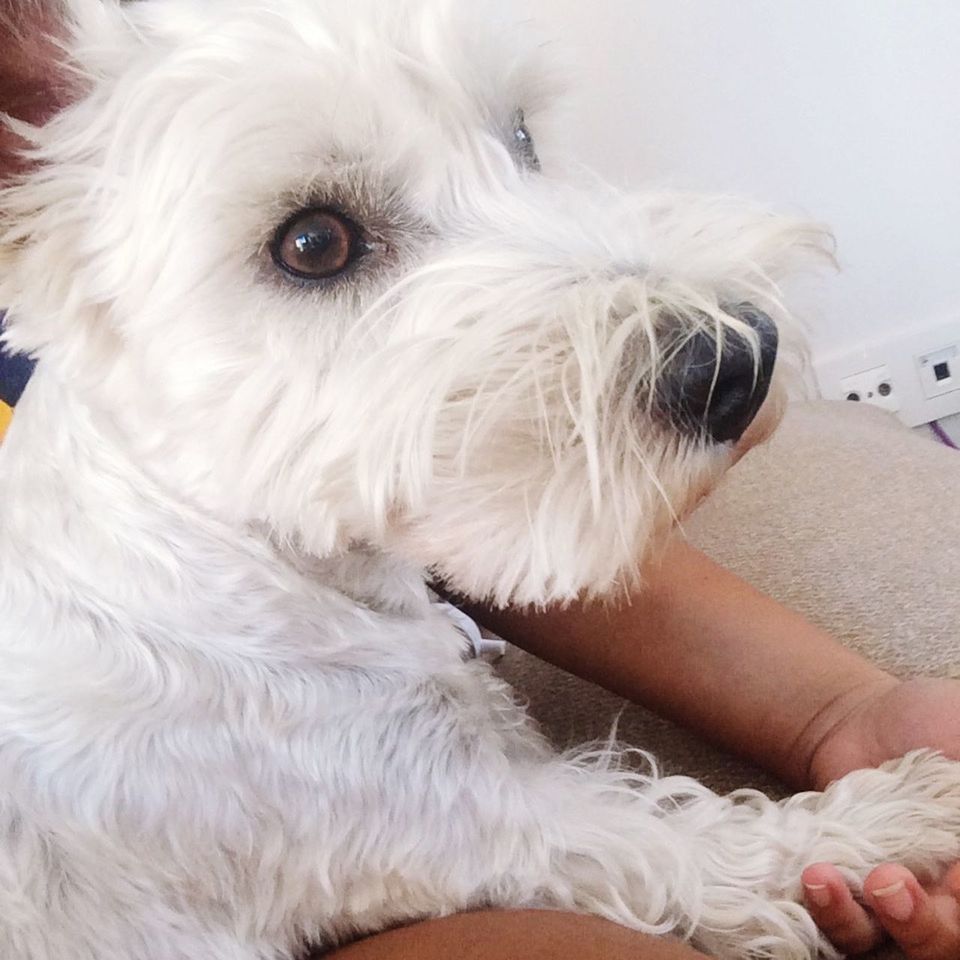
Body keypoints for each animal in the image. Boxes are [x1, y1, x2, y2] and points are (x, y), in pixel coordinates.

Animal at [1, 1, 960, 960]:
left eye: (523, 137)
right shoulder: (452, 813)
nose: (740, 361)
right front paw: (904, 809)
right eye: (312, 243)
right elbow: (692, 838)